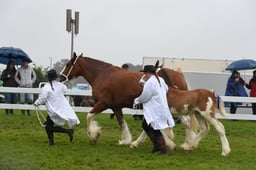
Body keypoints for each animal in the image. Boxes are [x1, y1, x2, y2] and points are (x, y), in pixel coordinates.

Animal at [59, 52, 193, 145]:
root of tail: (179, 75)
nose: (60, 77)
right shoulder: (115, 107)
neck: (102, 75)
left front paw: (94, 135)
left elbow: (89, 116)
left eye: (68, 64)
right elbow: (122, 122)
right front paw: (126, 140)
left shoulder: (103, 103)